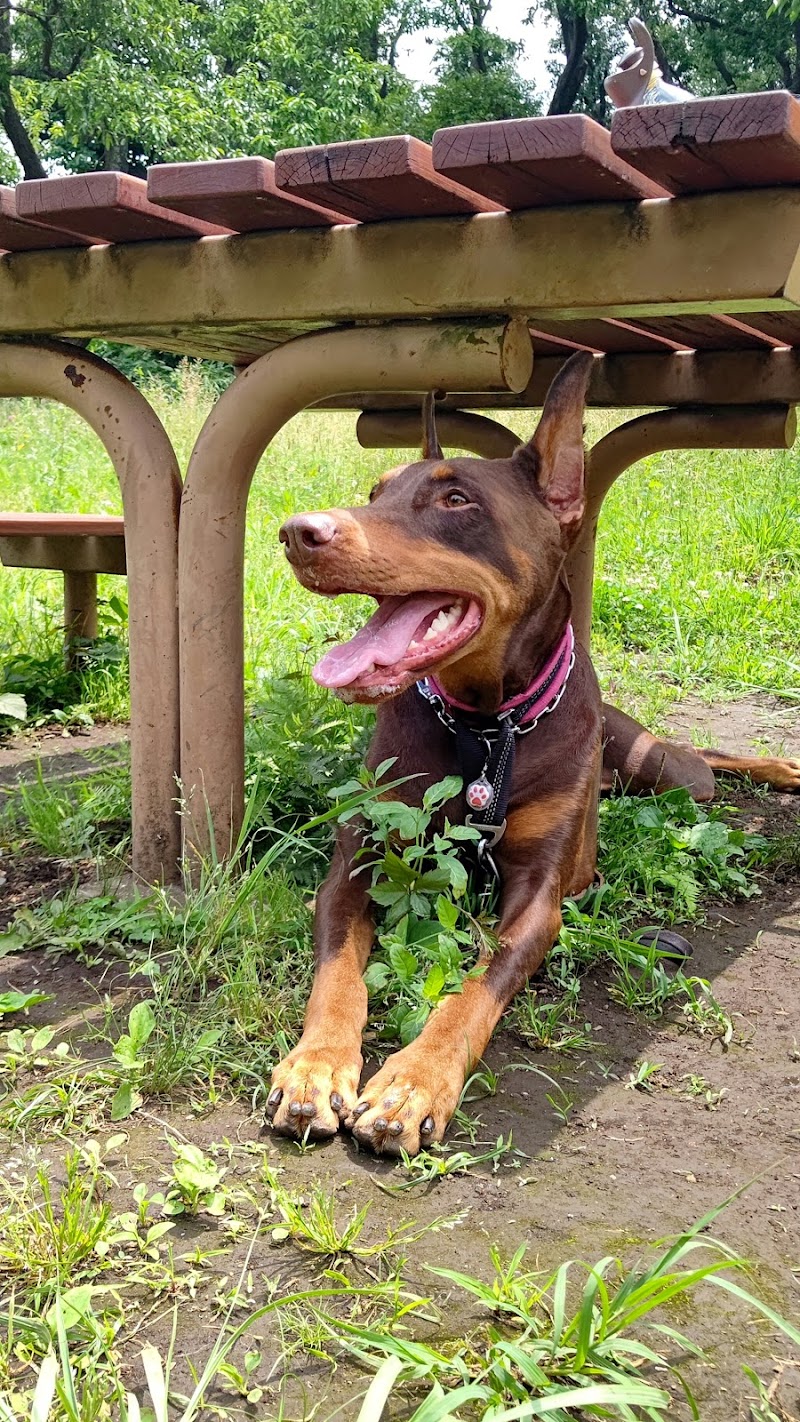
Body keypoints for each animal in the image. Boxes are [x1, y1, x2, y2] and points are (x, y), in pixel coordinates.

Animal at [271, 352, 800, 1154]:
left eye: (456, 498)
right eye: (374, 492)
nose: (298, 532)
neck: (487, 725)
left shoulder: (537, 898)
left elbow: (473, 988)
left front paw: (410, 1084)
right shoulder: (360, 861)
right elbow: (337, 975)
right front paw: (314, 1067)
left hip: (667, 774)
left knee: (705, 759)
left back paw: (781, 768)